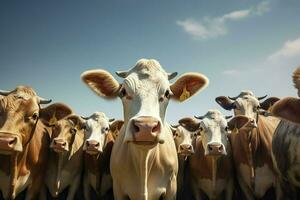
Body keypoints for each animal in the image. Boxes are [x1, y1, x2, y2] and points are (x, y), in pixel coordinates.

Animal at [81, 58, 210, 199]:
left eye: (167, 93)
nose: (146, 127)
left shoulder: (171, 187)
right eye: (123, 92)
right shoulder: (118, 188)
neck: (144, 163)